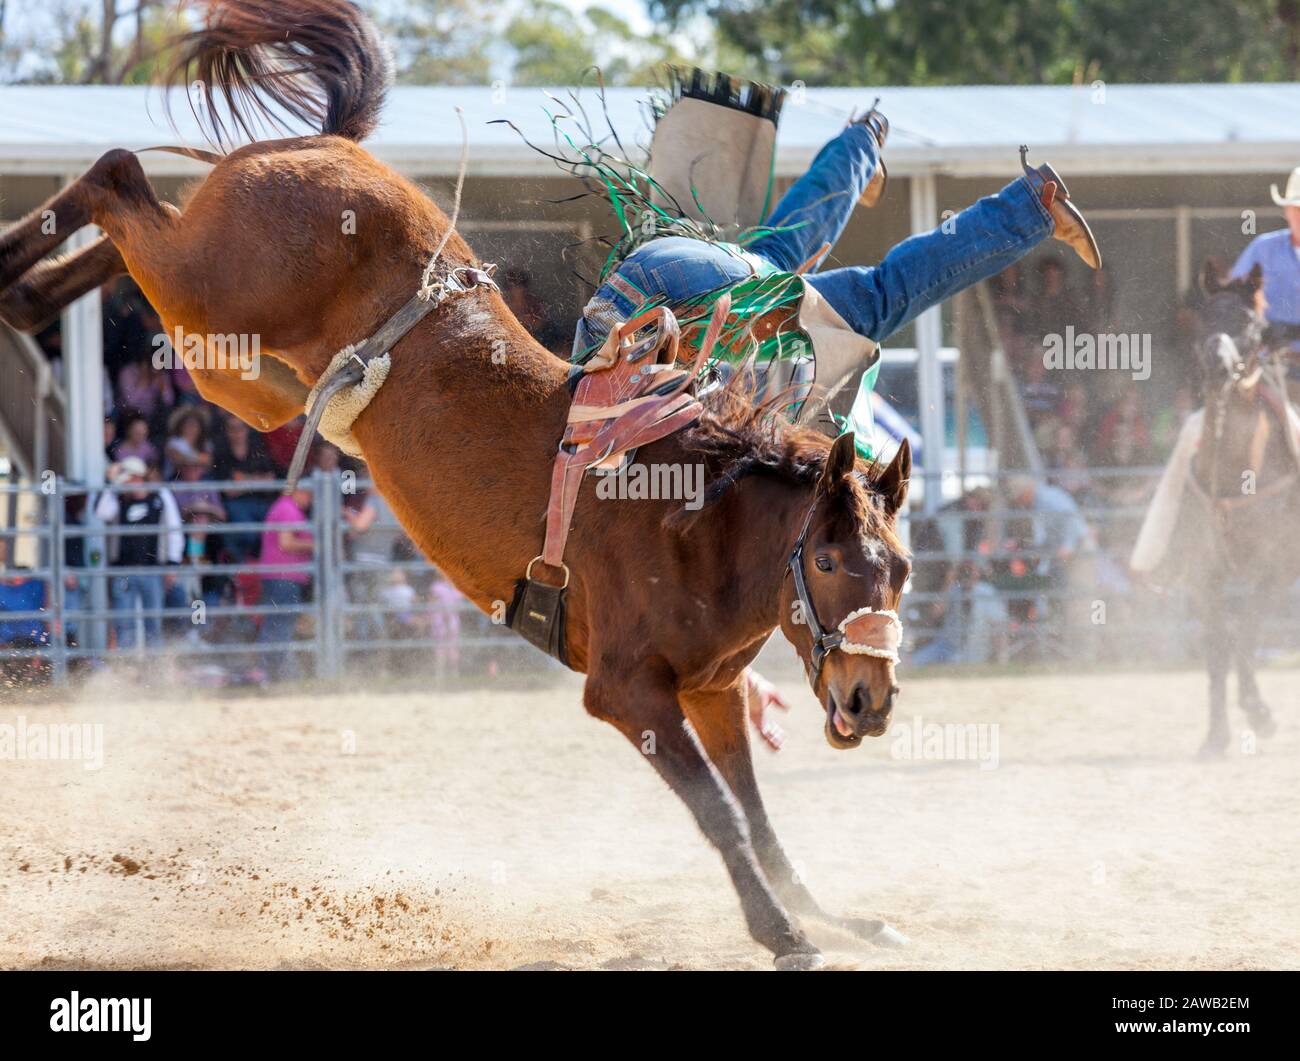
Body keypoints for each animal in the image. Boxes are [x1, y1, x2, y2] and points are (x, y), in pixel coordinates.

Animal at [0, 0, 915, 967]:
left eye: (900, 570)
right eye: (825, 559)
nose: (870, 701)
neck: (693, 520)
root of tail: (329, 146)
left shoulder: (711, 691)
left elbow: (760, 818)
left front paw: (831, 914)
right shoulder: (628, 692)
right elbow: (721, 816)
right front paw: (784, 931)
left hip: (234, 365)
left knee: (125, 230)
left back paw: (26, 290)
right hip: (214, 294)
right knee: (117, 174)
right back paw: (10, 261)